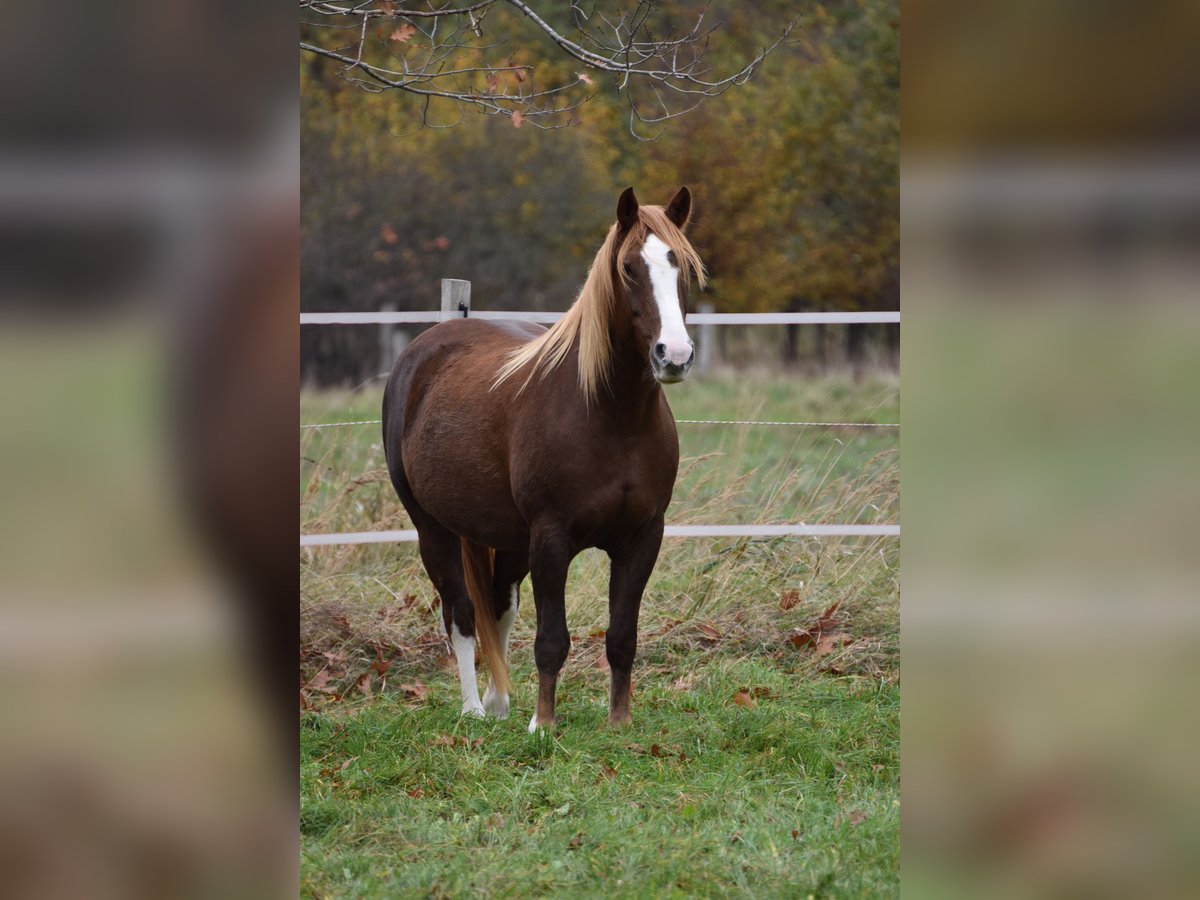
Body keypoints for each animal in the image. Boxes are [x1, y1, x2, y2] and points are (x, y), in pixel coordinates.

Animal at [381, 187, 700, 729]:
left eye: (681, 265)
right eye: (629, 268)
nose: (673, 355)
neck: (612, 417)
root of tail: (420, 350)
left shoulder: (642, 539)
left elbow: (622, 637)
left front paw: (619, 723)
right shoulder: (551, 539)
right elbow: (551, 639)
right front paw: (543, 725)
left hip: (506, 538)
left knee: (499, 605)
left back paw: (499, 702)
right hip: (433, 528)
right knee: (462, 613)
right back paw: (473, 710)